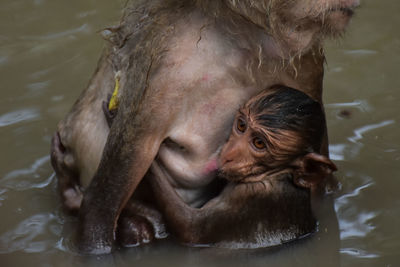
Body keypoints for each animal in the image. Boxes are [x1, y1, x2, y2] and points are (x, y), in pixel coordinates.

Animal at [148, 86, 336, 249]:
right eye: (241, 126)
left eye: (259, 143)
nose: (228, 154)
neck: (279, 176)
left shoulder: (252, 196)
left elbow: (190, 230)